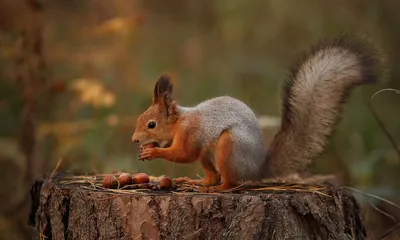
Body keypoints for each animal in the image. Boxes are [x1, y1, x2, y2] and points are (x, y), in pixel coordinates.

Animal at [131, 35, 384, 193]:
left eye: (151, 124)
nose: (134, 140)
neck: (179, 121)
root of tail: (258, 169)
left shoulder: (191, 132)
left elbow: (184, 154)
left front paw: (153, 151)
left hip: (230, 147)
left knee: (230, 183)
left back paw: (217, 188)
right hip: (209, 154)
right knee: (213, 176)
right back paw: (196, 182)